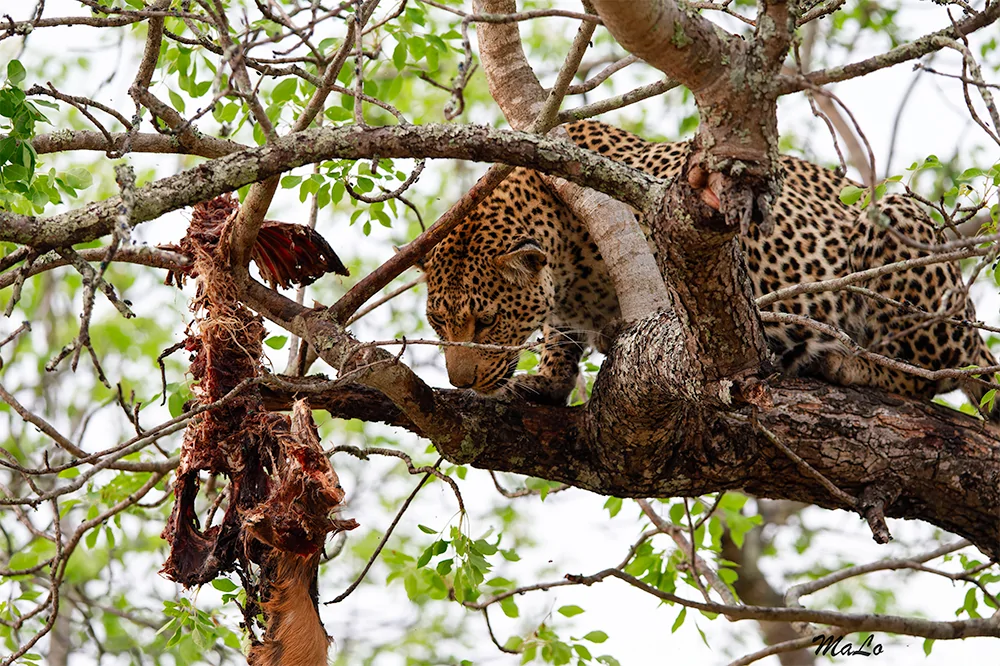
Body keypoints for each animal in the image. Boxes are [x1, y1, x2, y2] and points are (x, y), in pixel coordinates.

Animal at [422, 119, 997, 412]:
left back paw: (844, 363)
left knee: (930, 371)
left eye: (487, 321)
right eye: (437, 323)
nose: (460, 382)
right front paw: (548, 380)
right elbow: (559, 335)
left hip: (898, 227)